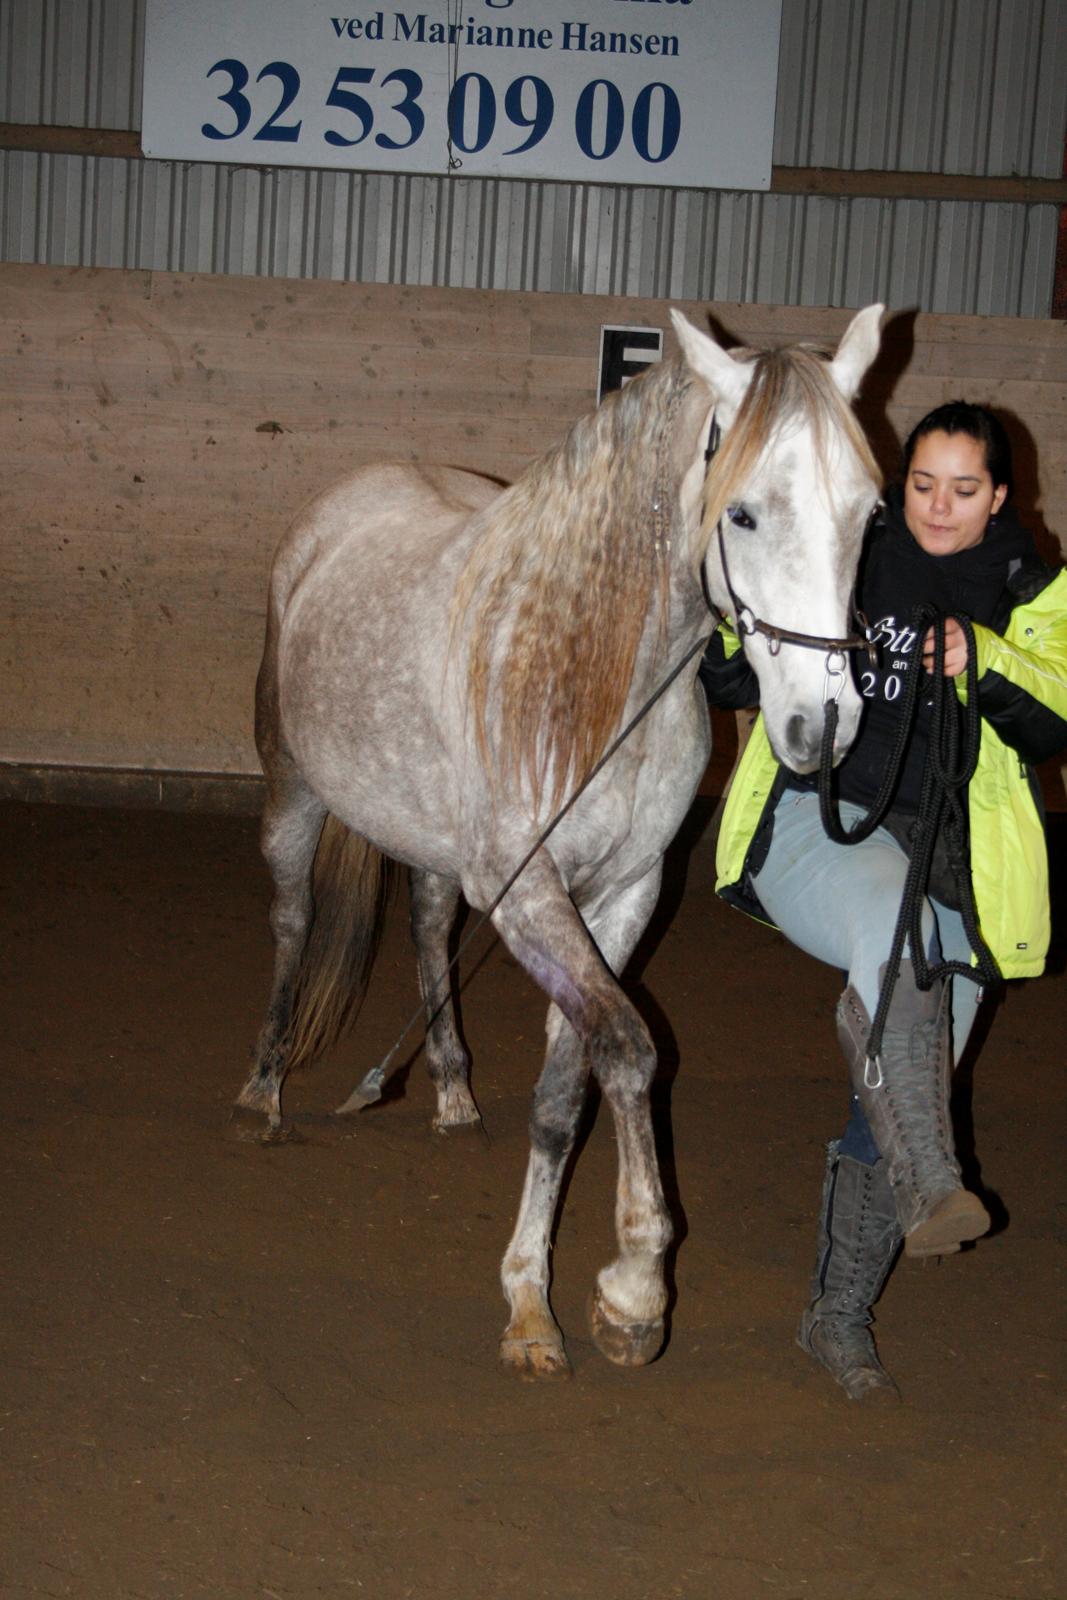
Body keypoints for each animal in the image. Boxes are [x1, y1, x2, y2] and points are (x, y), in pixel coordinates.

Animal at [239, 305, 883, 1382]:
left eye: (871, 514)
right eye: (743, 514)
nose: (822, 727)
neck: (598, 678)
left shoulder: (619, 896)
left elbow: (562, 1091)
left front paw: (532, 1301)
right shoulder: (531, 895)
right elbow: (626, 1047)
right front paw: (631, 1287)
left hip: (434, 850)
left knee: (425, 930)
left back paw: (449, 1091)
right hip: (292, 793)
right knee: (290, 925)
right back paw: (263, 1089)